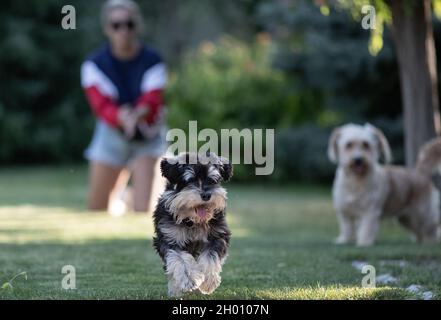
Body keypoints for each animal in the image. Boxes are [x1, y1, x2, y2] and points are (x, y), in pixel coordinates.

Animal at [153, 152, 232, 298]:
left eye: (212, 180)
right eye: (189, 180)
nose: (206, 195)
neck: (193, 221)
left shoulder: (217, 237)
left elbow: (210, 257)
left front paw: (208, 282)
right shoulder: (169, 239)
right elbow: (179, 259)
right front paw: (189, 279)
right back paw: (175, 289)